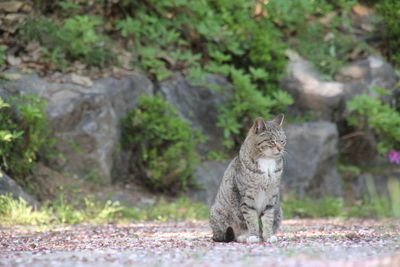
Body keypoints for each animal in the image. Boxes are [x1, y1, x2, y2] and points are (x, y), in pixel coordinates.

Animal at [208, 114, 286, 244]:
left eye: (282, 140)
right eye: (272, 141)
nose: (280, 149)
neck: (267, 162)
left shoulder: (271, 197)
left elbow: (268, 219)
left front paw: (268, 236)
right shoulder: (247, 197)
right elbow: (252, 219)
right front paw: (253, 236)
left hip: (279, 209)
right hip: (217, 213)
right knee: (228, 235)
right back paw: (243, 236)